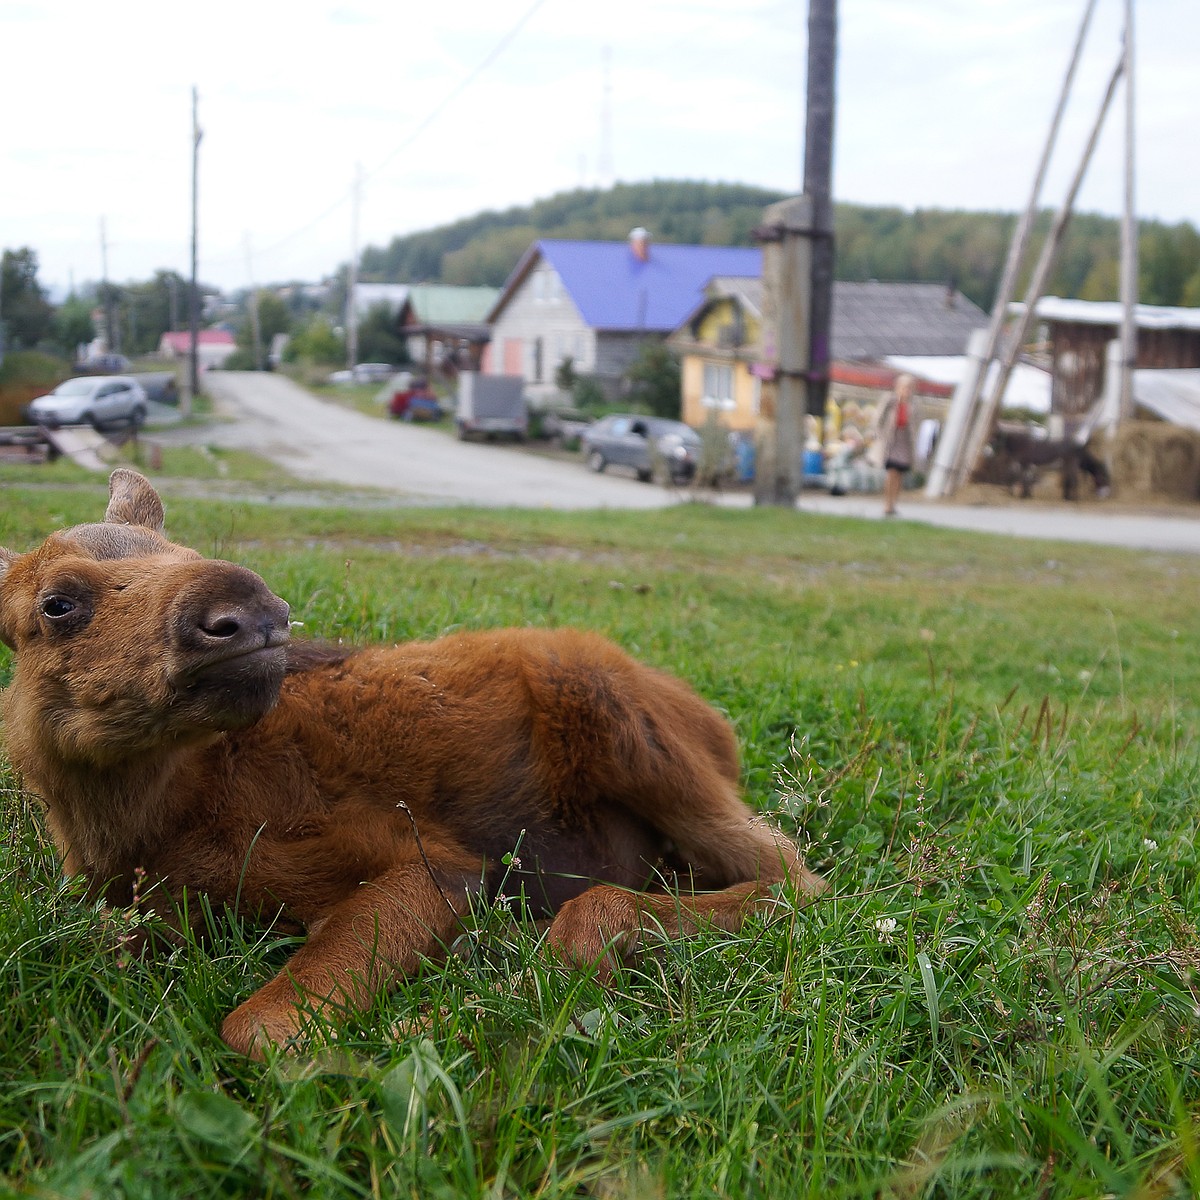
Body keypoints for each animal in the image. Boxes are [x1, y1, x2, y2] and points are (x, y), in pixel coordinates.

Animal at [0, 468, 825, 1051]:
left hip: (627, 726)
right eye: (57, 603)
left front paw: (420, 1031)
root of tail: (718, 727)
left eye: (191, 552)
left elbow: (260, 1029)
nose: (253, 606)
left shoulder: (428, 860)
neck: (151, 829)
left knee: (793, 879)